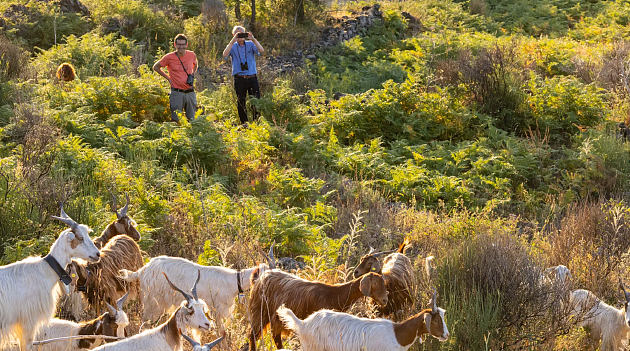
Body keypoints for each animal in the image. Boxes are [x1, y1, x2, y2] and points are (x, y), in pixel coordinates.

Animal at [248, 270, 390, 350]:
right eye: (375, 283)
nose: (385, 300)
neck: (335, 294)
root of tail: (260, 277)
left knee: (274, 337)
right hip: (259, 311)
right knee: (253, 335)